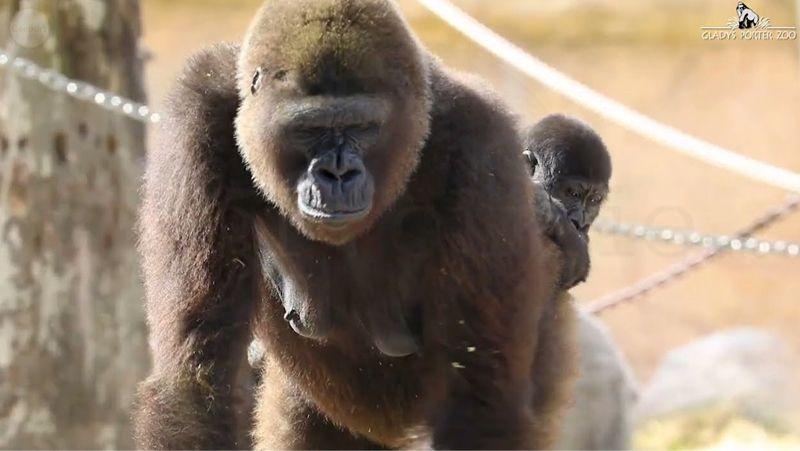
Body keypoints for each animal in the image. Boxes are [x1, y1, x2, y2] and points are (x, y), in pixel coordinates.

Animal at [132, 1, 571, 450]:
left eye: (362, 127)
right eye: (308, 129)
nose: (337, 173)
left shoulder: (482, 143)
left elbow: (481, 403)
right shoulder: (200, 113)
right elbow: (195, 381)